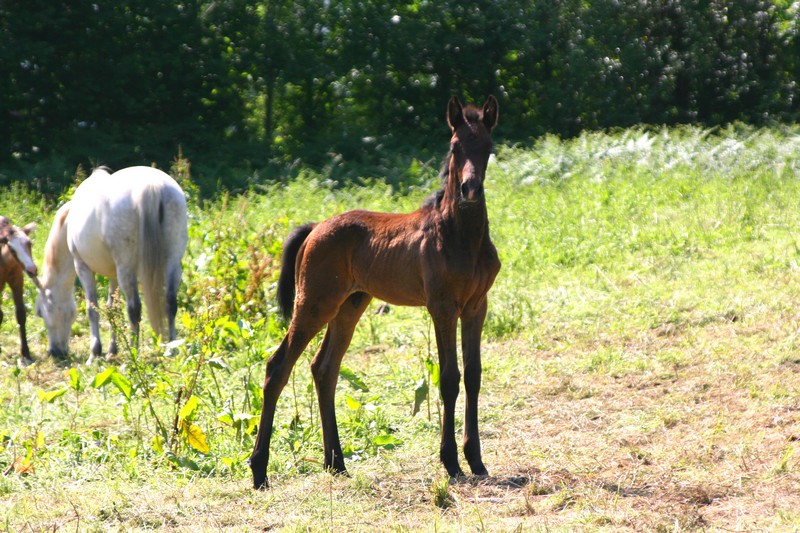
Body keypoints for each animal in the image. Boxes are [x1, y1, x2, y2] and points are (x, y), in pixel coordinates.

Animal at [0, 215, 39, 362]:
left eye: (29, 243)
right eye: (12, 249)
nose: (32, 270)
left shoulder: (17, 279)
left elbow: (21, 314)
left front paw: (25, 352)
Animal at [37, 165, 189, 362]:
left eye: (40, 312)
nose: (54, 352)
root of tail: (152, 185)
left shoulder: (82, 267)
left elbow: (92, 309)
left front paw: (95, 352)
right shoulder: (113, 275)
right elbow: (112, 309)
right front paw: (112, 350)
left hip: (126, 269)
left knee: (134, 308)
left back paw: (134, 352)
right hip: (172, 263)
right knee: (170, 303)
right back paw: (172, 348)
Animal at [250, 95, 500, 486]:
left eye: (487, 147)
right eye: (455, 147)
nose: (470, 190)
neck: (460, 237)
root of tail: (315, 228)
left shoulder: (477, 305)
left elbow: (473, 375)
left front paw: (476, 460)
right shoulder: (442, 307)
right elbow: (449, 378)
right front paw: (451, 462)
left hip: (350, 304)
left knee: (324, 369)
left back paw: (336, 462)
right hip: (315, 304)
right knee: (278, 366)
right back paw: (259, 470)